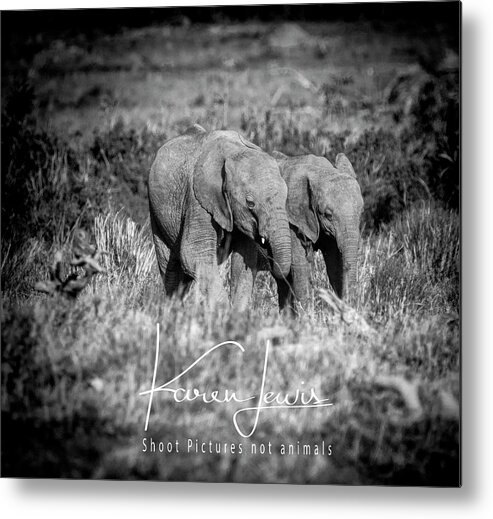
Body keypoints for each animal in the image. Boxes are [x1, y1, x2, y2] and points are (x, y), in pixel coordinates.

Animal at [229, 150, 364, 312]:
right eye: (328, 215)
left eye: (361, 212)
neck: (322, 171)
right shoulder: (290, 220)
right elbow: (300, 268)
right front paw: (307, 316)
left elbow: (334, 267)